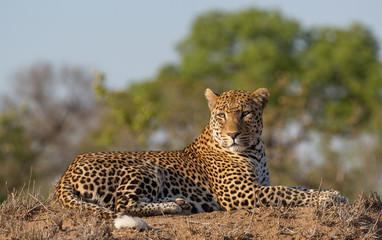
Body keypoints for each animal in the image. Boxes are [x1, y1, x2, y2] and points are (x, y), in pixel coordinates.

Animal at [54, 87, 346, 229]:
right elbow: (287, 192)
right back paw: (174, 207)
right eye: (222, 115)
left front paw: (334, 193)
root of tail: (66, 171)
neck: (255, 149)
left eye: (246, 114)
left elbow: (298, 188)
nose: (233, 134)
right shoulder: (242, 192)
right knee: (123, 203)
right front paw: (328, 198)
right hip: (145, 167)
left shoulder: (259, 184)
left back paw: (179, 203)